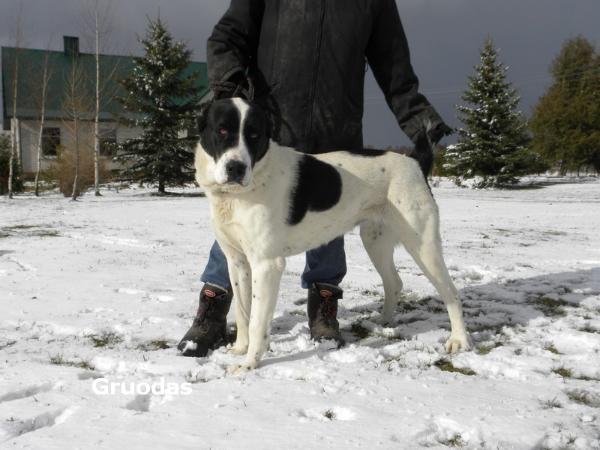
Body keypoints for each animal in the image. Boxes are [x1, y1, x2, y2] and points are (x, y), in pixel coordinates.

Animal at [195, 97, 472, 372]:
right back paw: (383, 321)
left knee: (451, 293)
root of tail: (414, 162)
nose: (236, 168)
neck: (238, 194)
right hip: (376, 242)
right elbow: (243, 312)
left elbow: (256, 321)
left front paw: (249, 363)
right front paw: (240, 349)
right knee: (394, 282)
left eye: (254, 135)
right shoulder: (237, 261)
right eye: (222, 130)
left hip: (423, 245)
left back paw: (459, 340)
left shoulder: (267, 265)